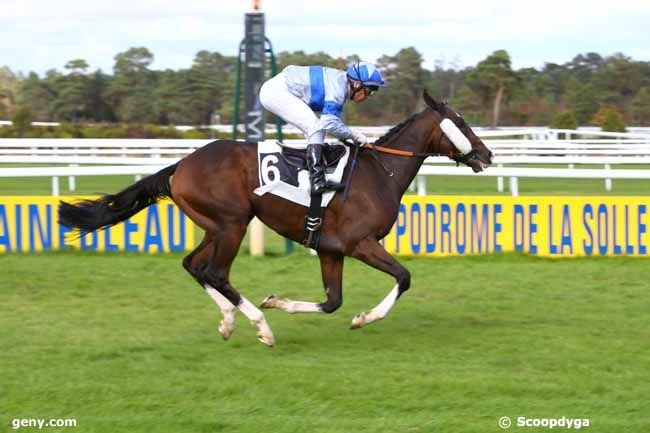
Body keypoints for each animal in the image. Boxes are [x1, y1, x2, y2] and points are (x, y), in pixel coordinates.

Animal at [59, 92, 492, 348]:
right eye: (461, 122)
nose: (486, 155)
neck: (379, 172)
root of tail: (181, 164)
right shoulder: (360, 244)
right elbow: (403, 277)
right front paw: (363, 319)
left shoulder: (330, 250)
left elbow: (332, 302)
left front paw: (278, 301)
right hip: (233, 223)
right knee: (215, 272)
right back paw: (260, 327)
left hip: (215, 226)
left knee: (193, 265)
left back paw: (229, 321)